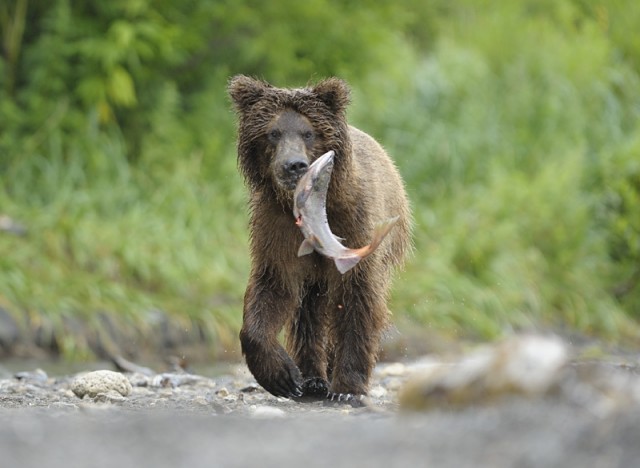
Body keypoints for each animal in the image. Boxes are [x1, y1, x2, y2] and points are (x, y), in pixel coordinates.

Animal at [228, 74, 412, 402]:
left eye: (308, 132)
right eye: (273, 133)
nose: (294, 165)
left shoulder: (354, 223)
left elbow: (358, 299)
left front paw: (348, 388)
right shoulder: (276, 228)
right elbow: (273, 287)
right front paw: (282, 376)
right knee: (308, 311)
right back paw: (312, 379)